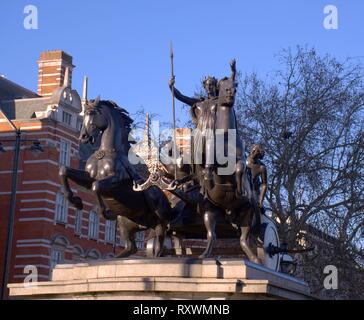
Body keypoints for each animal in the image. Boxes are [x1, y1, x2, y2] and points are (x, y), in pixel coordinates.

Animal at [59, 97, 173, 258]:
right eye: (84, 113)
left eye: (92, 113)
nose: (83, 137)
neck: (106, 152)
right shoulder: (89, 177)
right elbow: (64, 171)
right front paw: (76, 201)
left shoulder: (117, 181)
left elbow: (96, 186)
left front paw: (106, 212)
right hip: (126, 222)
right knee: (131, 247)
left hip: (159, 219)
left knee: (160, 242)